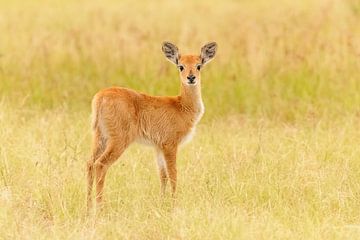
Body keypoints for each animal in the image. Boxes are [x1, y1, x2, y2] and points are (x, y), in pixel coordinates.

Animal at [86, 41, 217, 210]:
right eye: (180, 66)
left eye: (199, 65)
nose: (191, 78)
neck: (182, 106)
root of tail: (100, 97)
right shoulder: (170, 144)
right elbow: (173, 173)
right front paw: (175, 205)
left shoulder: (158, 146)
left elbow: (163, 175)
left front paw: (162, 202)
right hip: (118, 141)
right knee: (100, 164)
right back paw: (100, 207)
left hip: (99, 137)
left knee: (89, 163)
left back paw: (88, 206)